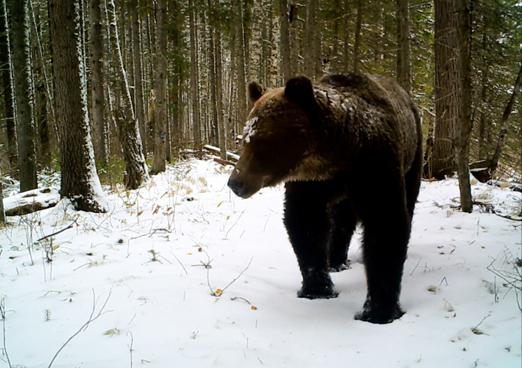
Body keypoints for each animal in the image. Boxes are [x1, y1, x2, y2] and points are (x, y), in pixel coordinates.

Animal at [225, 73, 420, 324]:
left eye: (262, 140)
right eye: (245, 139)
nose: (235, 182)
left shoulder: (374, 167)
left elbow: (385, 224)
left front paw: (378, 311)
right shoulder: (310, 184)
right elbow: (306, 224)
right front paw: (317, 288)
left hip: (414, 154)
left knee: (408, 202)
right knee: (342, 220)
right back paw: (335, 261)